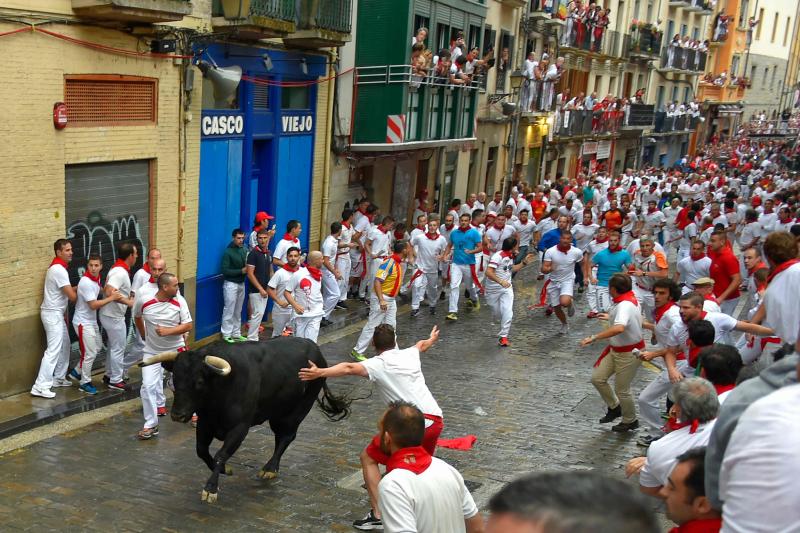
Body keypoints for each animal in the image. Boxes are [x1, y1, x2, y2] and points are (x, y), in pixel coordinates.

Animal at [140, 336, 350, 502]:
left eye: (199, 381)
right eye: (174, 379)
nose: (178, 415)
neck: (221, 388)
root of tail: (315, 350)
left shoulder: (240, 427)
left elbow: (221, 454)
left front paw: (211, 488)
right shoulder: (205, 423)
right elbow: (202, 451)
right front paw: (225, 470)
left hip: (296, 411)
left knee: (286, 437)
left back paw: (270, 468)